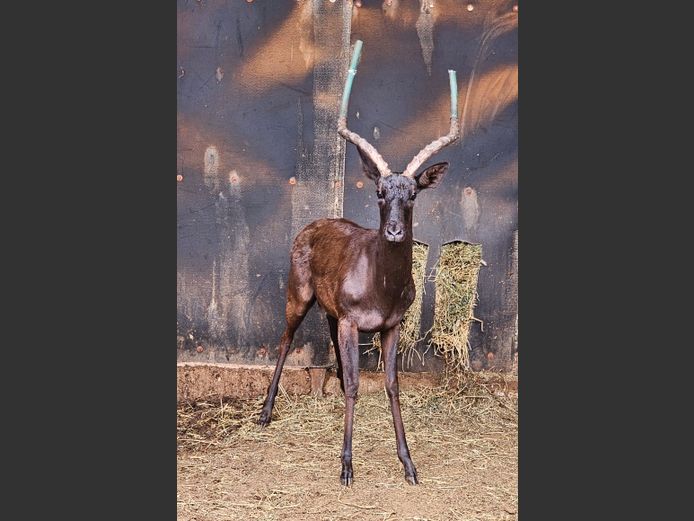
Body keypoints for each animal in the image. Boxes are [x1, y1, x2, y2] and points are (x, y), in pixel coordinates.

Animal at [258, 40, 460, 486]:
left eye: (413, 193)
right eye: (380, 191)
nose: (396, 232)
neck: (380, 289)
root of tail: (311, 224)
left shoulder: (390, 324)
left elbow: (391, 385)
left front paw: (409, 464)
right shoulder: (353, 320)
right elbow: (354, 384)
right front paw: (347, 466)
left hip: (333, 313)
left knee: (329, 337)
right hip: (298, 294)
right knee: (285, 339)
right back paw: (265, 412)